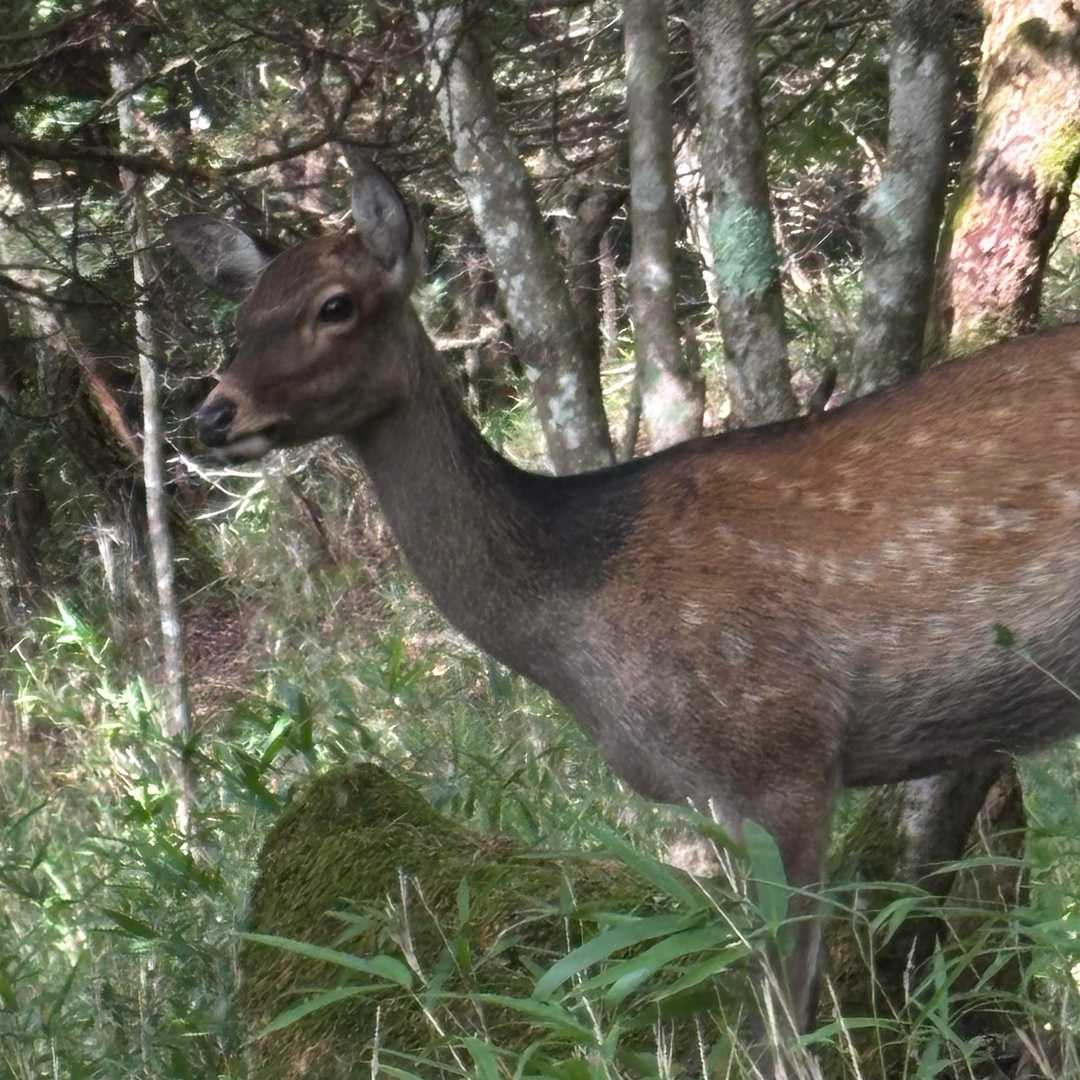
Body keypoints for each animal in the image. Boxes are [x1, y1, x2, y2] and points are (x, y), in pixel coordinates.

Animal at [167, 159, 1080, 1053]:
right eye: (243, 318)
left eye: (336, 305)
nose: (213, 414)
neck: (576, 622)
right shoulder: (718, 793)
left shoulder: (779, 752)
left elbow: (779, 1019)